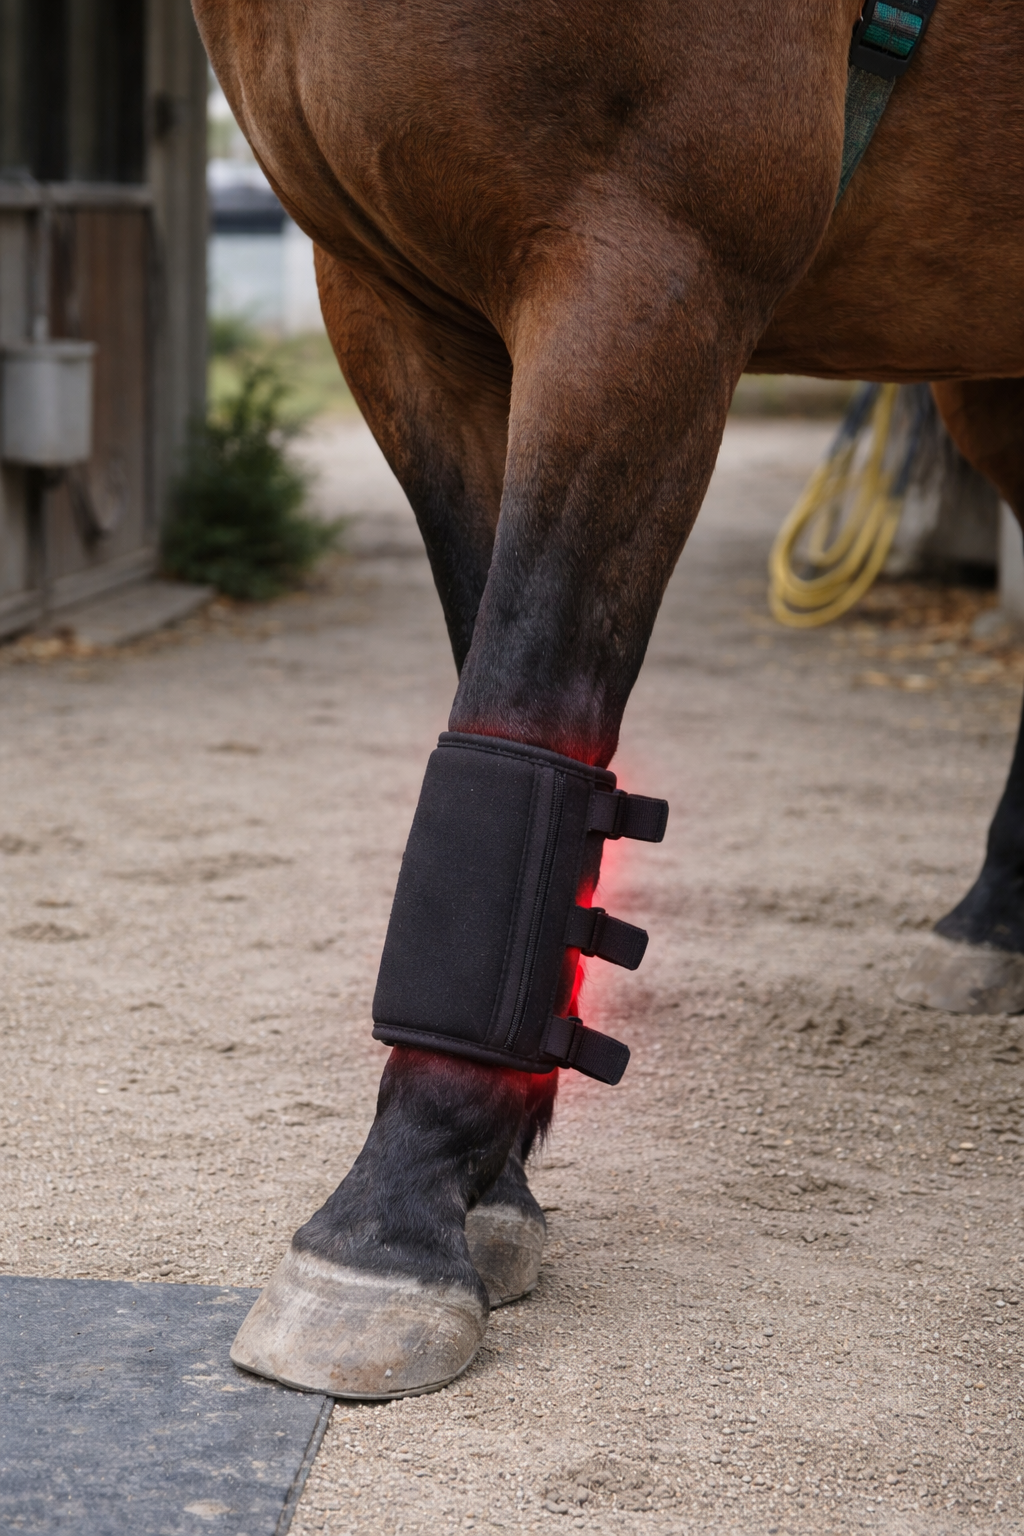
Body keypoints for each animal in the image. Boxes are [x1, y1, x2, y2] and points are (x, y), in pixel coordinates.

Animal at [192, 0, 1024, 1397]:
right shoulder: (392, 306)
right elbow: (495, 675)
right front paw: (492, 1174)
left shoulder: (642, 266)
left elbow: (527, 682)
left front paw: (393, 1211)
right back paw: (994, 920)